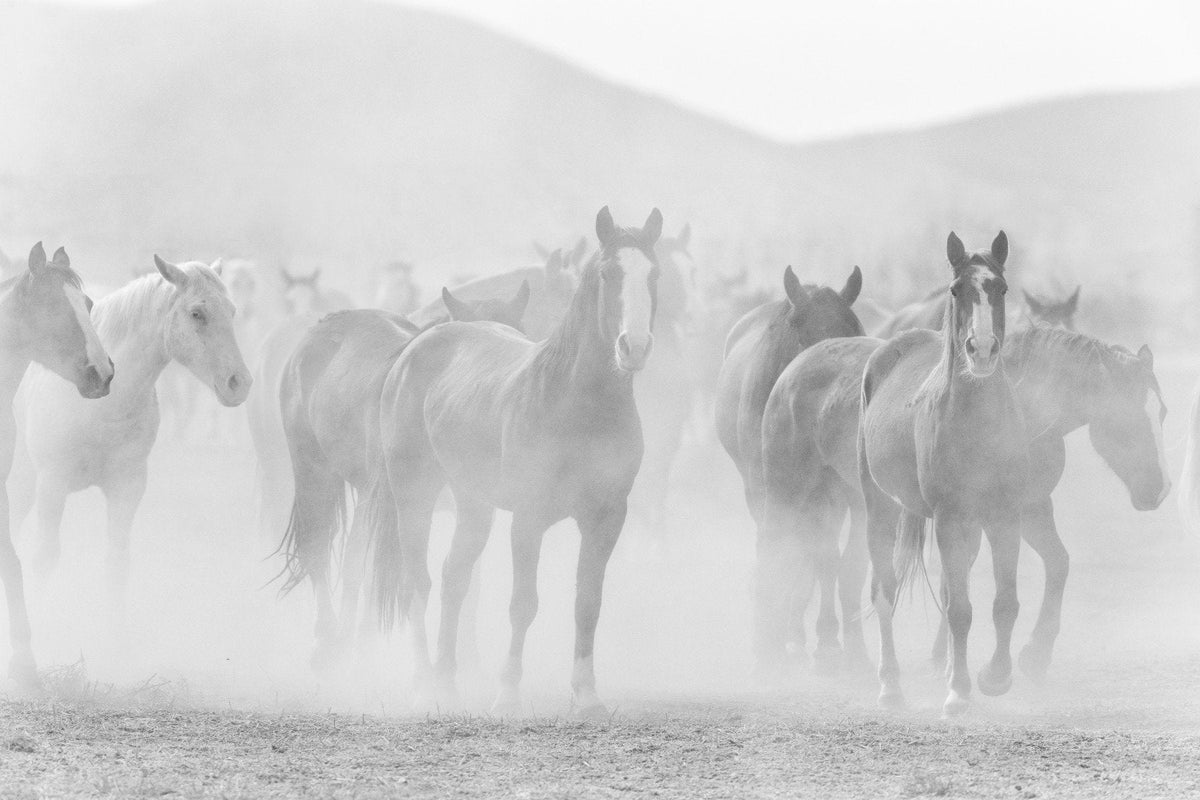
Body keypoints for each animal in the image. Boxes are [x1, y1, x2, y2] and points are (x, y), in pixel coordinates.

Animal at [11, 256, 250, 624]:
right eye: (197, 313)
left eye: (232, 311)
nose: (239, 382)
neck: (102, 406)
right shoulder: (52, 482)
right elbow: (44, 558)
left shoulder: (128, 487)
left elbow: (117, 564)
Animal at [273, 283, 531, 670]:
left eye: (518, 333)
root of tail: (320, 328)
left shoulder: (471, 505)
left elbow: (464, 579)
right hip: (313, 471)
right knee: (320, 547)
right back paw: (328, 640)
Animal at [713, 263, 863, 679]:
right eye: (799, 326)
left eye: (852, 326)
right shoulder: (768, 487)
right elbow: (783, 551)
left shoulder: (836, 492)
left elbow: (826, 558)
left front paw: (828, 640)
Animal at [764, 325, 1169, 682]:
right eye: (1123, 418)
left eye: (1160, 412)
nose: (1158, 489)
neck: (1020, 405)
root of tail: (796, 366)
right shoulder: (981, 515)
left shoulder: (1029, 507)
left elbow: (1056, 564)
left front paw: (1032, 655)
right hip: (793, 496)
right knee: (785, 560)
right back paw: (784, 653)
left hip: (846, 501)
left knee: (840, 570)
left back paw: (851, 658)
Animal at [859, 231, 1024, 717]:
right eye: (956, 290)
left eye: (1001, 288)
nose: (982, 350)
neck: (976, 421)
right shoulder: (951, 518)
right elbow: (960, 611)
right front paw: (958, 695)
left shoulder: (1004, 516)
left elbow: (1002, 602)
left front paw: (993, 677)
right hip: (881, 508)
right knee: (884, 590)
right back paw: (891, 686)